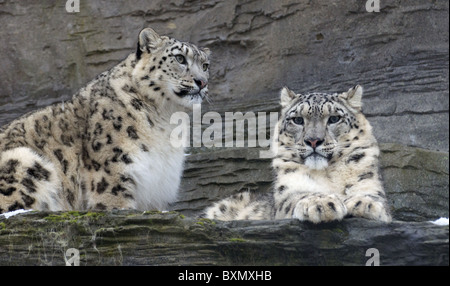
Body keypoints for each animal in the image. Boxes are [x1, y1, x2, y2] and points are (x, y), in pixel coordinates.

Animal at [0, 27, 211, 213]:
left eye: (205, 65)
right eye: (180, 58)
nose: (202, 82)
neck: (166, 119)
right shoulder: (114, 172)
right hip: (22, 159)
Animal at [204, 85, 390, 223]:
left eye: (334, 118)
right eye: (298, 120)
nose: (313, 140)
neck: (327, 174)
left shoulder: (368, 182)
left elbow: (372, 196)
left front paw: (364, 203)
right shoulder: (289, 188)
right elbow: (298, 196)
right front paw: (321, 203)